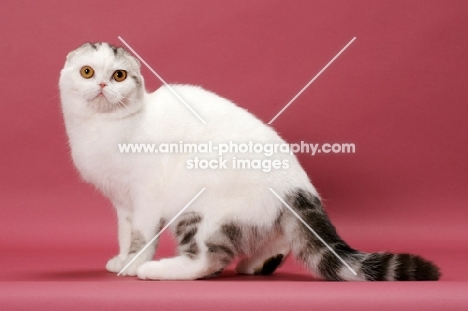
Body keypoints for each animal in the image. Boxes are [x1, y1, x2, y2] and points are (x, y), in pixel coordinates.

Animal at [58, 42, 438, 282]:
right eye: (87, 72)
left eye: (119, 76)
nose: (102, 85)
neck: (100, 128)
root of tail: (298, 185)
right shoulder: (123, 202)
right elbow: (125, 234)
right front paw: (121, 259)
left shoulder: (146, 198)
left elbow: (141, 237)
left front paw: (133, 263)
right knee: (279, 239)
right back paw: (256, 264)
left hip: (198, 212)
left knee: (209, 260)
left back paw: (159, 271)